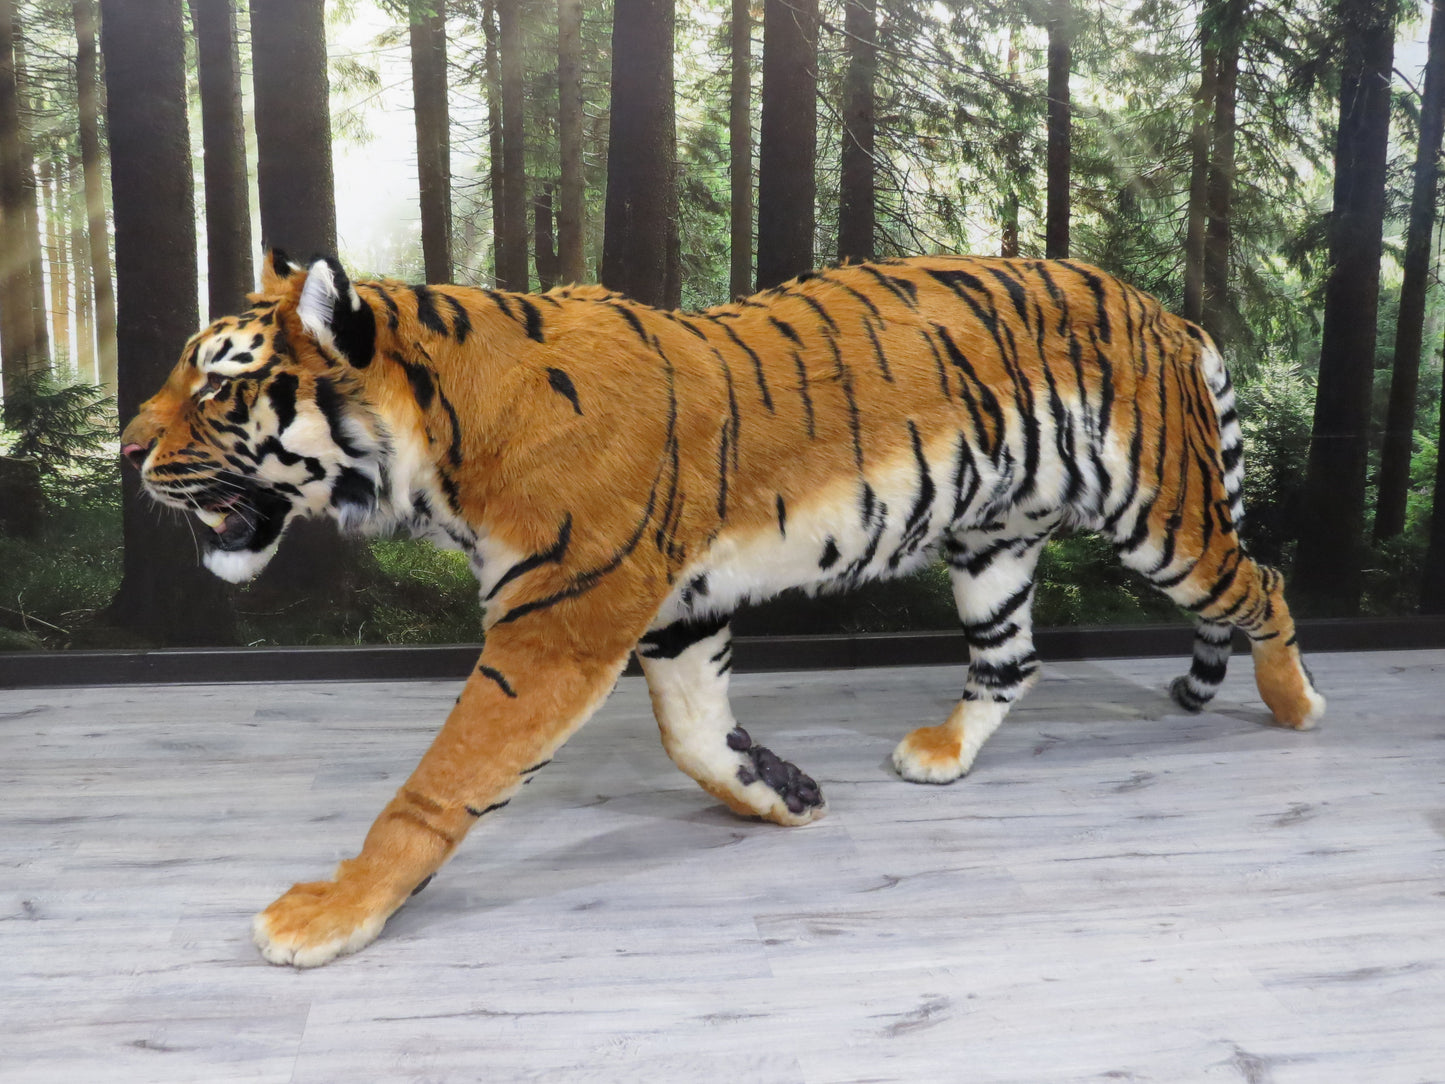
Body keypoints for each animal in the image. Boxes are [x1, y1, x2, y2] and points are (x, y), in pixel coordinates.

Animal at [120, 249, 1324, 967]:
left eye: (218, 382)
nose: (124, 451)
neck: (440, 443)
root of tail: (1164, 308)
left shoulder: (554, 627)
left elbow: (438, 783)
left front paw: (330, 911)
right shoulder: (670, 614)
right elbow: (695, 736)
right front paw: (784, 797)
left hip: (1160, 517)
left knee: (1263, 585)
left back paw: (1297, 705)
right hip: (991, 542)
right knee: (1009, 658)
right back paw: (941, 752)